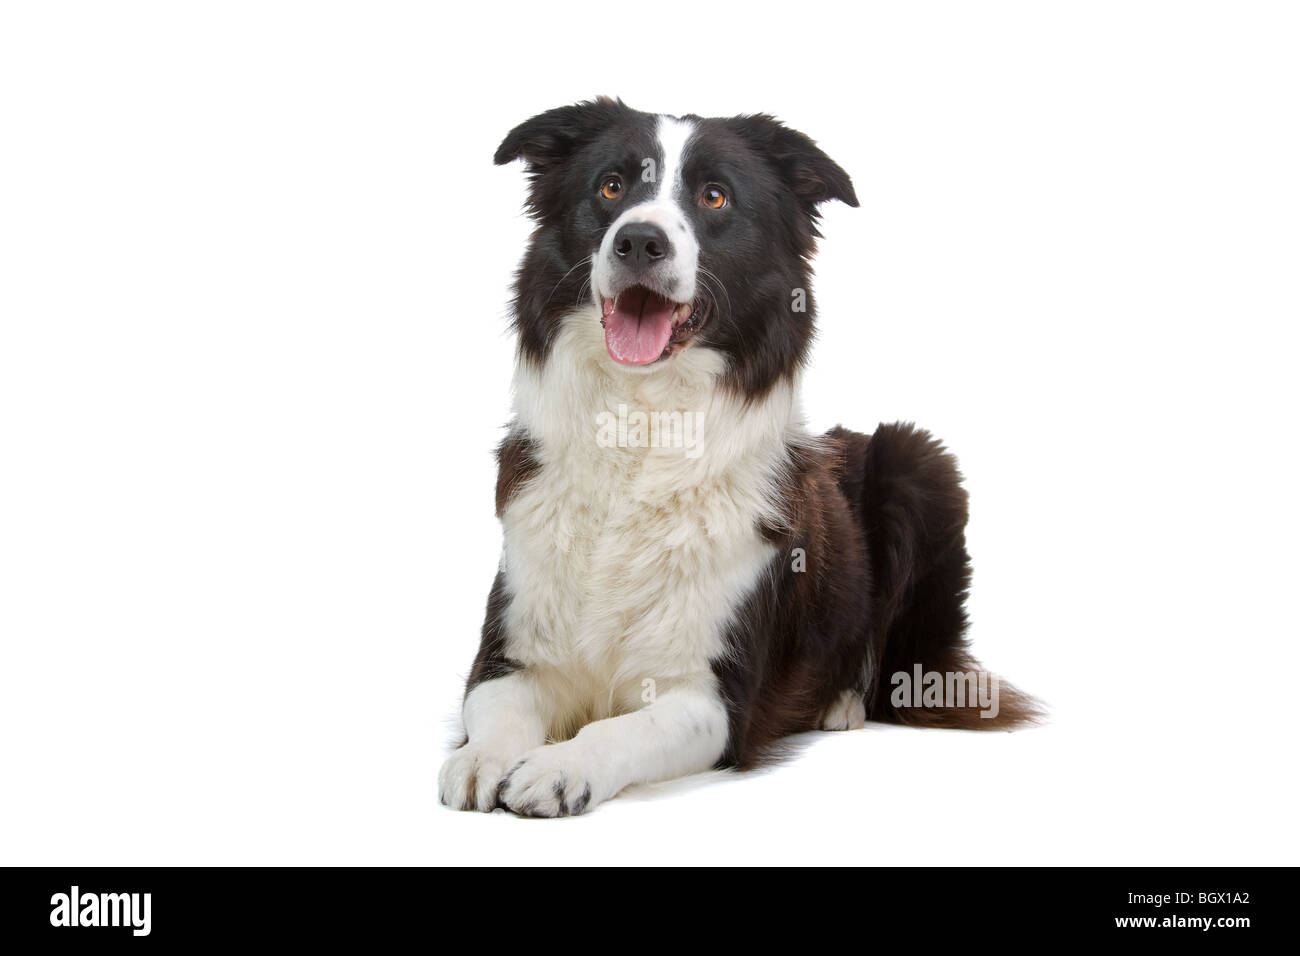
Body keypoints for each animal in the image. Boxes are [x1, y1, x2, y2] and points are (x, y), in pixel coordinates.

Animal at [441, 95, 1040, 816]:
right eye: (611, 187)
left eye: (715, 196)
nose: (638, 241)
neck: (642, 426)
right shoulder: (512, 651)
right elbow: (493, 707)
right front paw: (482, 758)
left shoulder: (715, 698)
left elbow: (621, 729)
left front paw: (560, 766)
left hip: (919, 462)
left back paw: (839, 702)